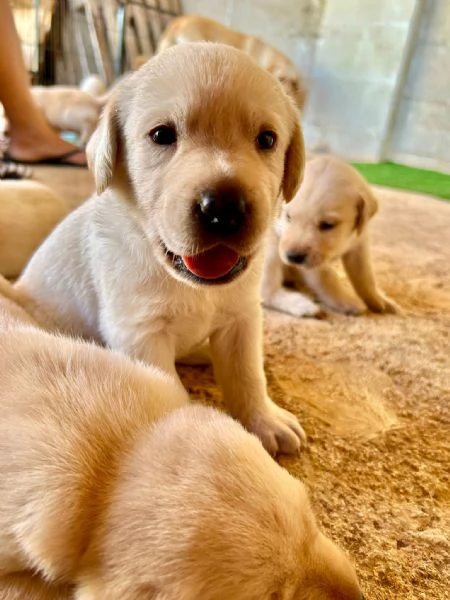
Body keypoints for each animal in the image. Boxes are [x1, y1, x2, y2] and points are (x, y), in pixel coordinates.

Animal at [15, 43, 308, 454]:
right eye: (161, 135)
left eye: (267, 140)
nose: (224, 209)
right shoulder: (139, 333)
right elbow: (168, 390)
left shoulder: (243, 318)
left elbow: (248, 373)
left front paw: (265, 419)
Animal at [262, 156, 402, 318]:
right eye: (288, 217)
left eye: (327, 224)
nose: (293, 257)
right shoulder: (313, 262)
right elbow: (327, 277)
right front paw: (347, 301)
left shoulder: (359, 245)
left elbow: (365, 278)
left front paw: (380, 300)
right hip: (270, 250)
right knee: (266, 292)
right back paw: (301, 305)